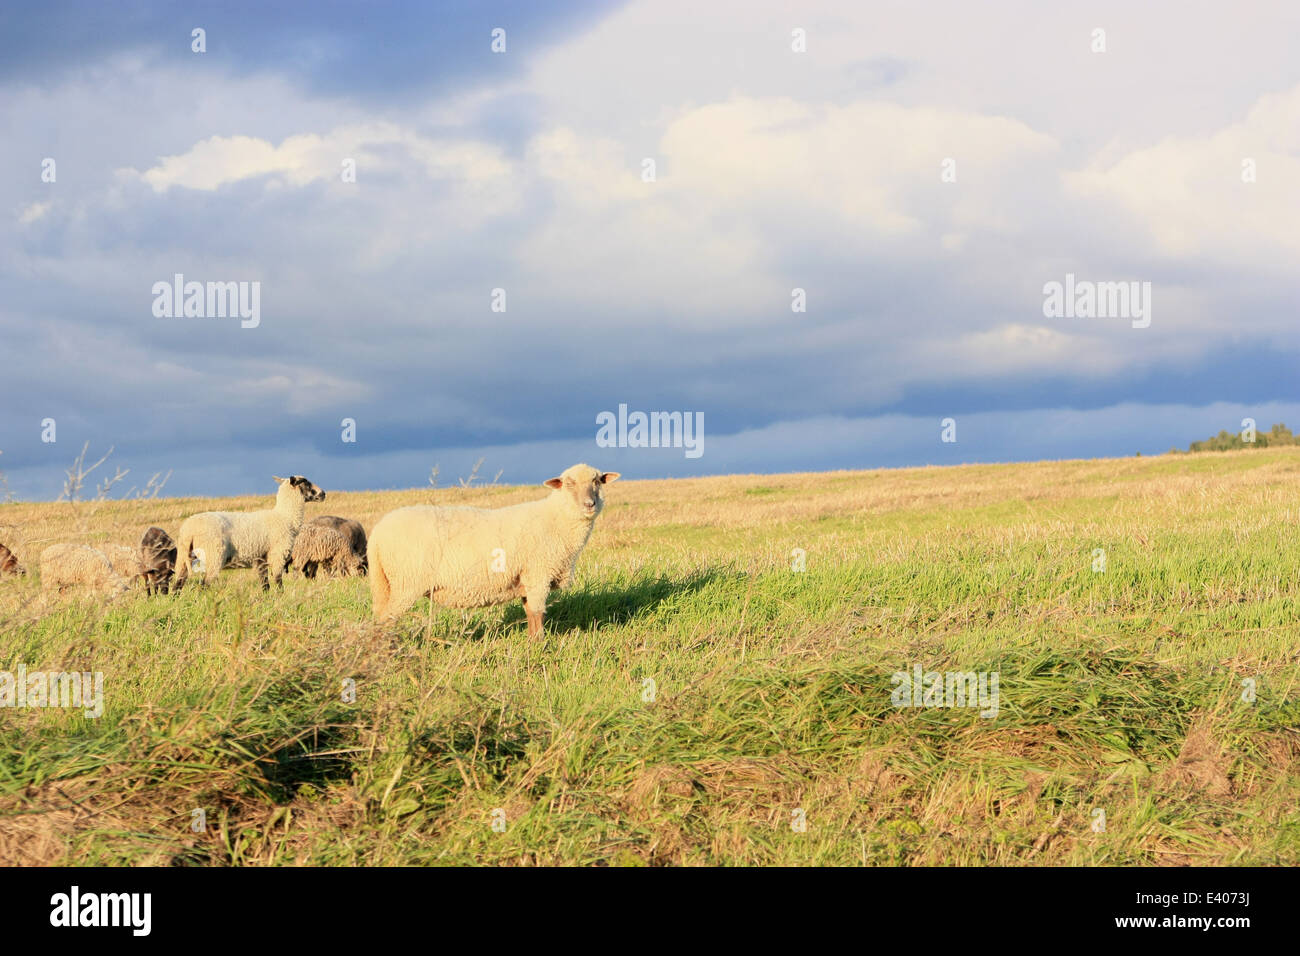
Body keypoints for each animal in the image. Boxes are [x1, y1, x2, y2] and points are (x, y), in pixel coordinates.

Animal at [173, 475, 325, 592]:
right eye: (305, 482)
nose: (323, 493)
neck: (284, 517)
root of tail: (189, 530)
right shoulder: (277, 555)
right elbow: (278, 583)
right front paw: (280, 599)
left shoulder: (261, 560)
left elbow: (265, 585)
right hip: (213, 556)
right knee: (204, 585)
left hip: (184, 557)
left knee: (177, 585)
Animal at [367, 463, 620, 635]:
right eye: (569, 483)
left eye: (597, 481)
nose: (590, 504)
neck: (556, 519)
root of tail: (377, 534)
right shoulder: (538, 574)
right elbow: (537, 613)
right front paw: (540, 644)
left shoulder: (525, 578)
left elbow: (530, 613)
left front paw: (532, 643)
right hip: (406, 583)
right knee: (387, 619)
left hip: (385, 583)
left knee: (379, 617)